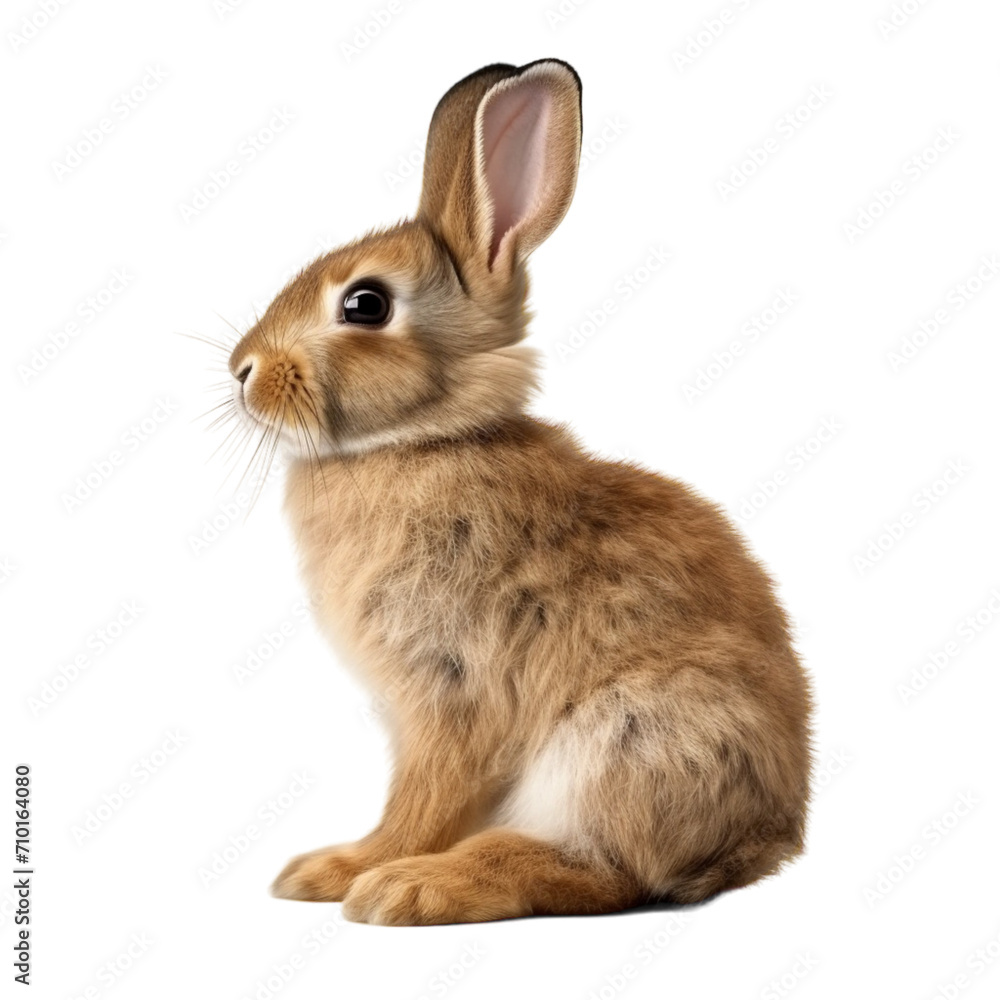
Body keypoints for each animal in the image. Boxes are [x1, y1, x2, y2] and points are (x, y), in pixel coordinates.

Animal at [224, 58, 813, 925]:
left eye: (365, 303)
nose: (242, 371)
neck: (422, 439)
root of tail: (769, 837)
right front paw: (324, 874)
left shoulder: (453, 687)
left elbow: (423, 800)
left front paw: (358, 871)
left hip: (625, 738)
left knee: (606, 870)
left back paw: (422, 886)